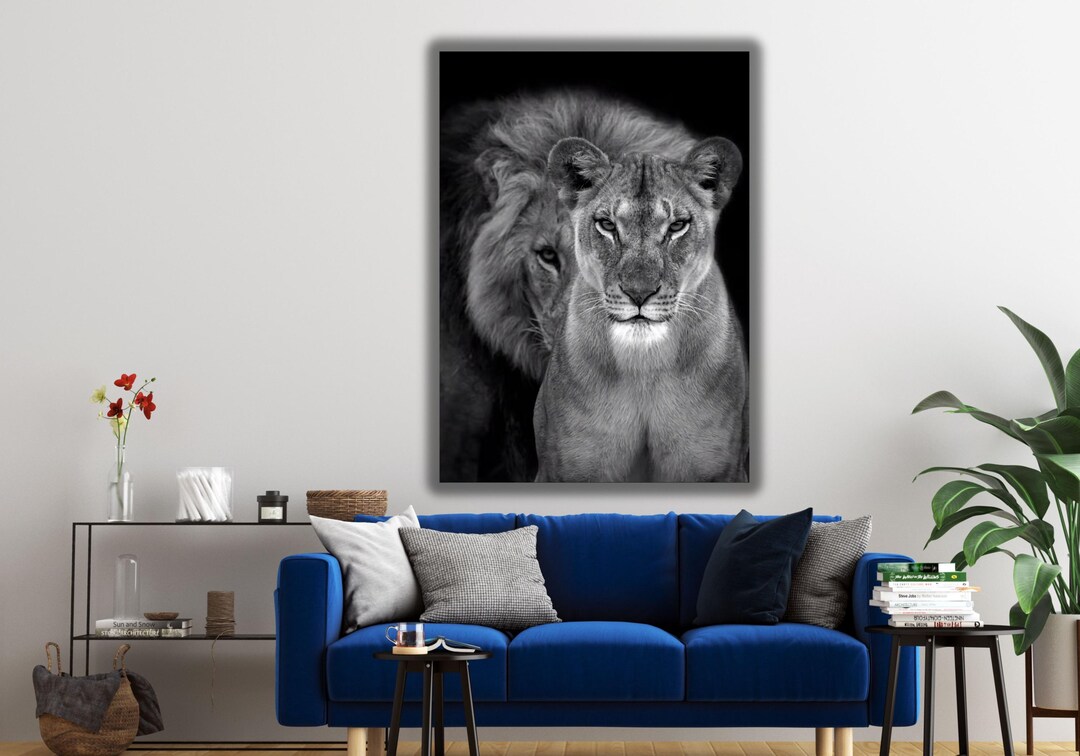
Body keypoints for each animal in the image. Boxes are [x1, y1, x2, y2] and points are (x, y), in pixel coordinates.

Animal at [533, 136, 749, 482]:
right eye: (607, 225)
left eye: (677, 226)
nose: (639, 293)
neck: (643, 366)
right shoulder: (563, 470)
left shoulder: (721, 469)